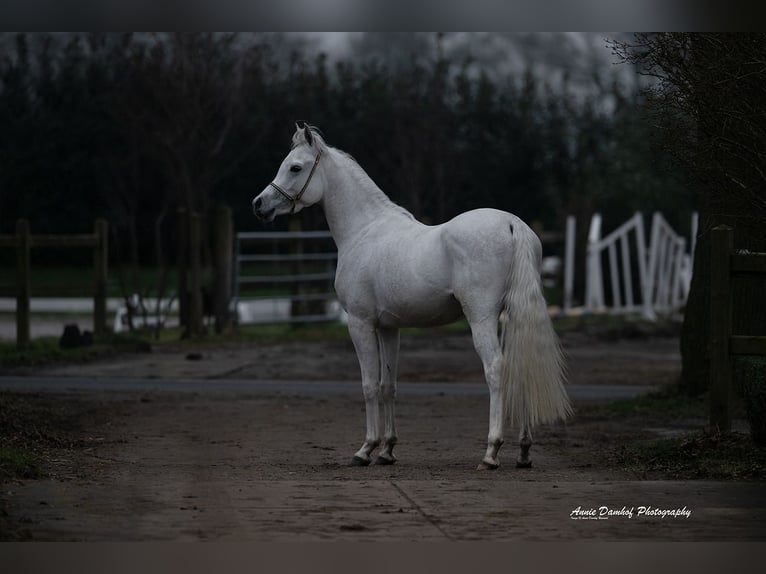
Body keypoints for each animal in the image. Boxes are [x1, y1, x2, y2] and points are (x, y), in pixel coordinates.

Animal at [252, 122, 572, 470]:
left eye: (295, 167)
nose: (259, 204)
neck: (364, 231)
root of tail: (513, 225)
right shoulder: (389, 327)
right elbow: (387, 385)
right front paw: (387, 450)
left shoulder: (360, 324)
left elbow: (368, 385)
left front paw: (365, 449)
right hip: (512, 317)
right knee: (521, 368)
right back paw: (524, 452)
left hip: (482, 317)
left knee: (496, 369)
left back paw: (491, 452)